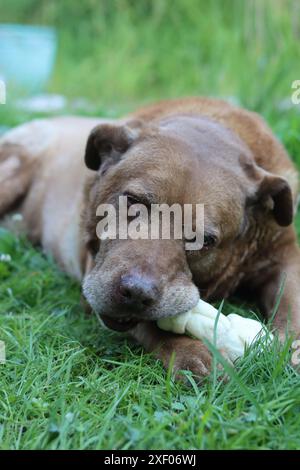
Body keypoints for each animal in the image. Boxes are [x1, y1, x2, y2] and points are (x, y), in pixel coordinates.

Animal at [1, 97, 298, 380]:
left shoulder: (284, 252)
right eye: (133, 201)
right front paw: (192, 351)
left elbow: (291, 300)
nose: (136, 292)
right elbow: (151, 324)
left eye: (203, 240)